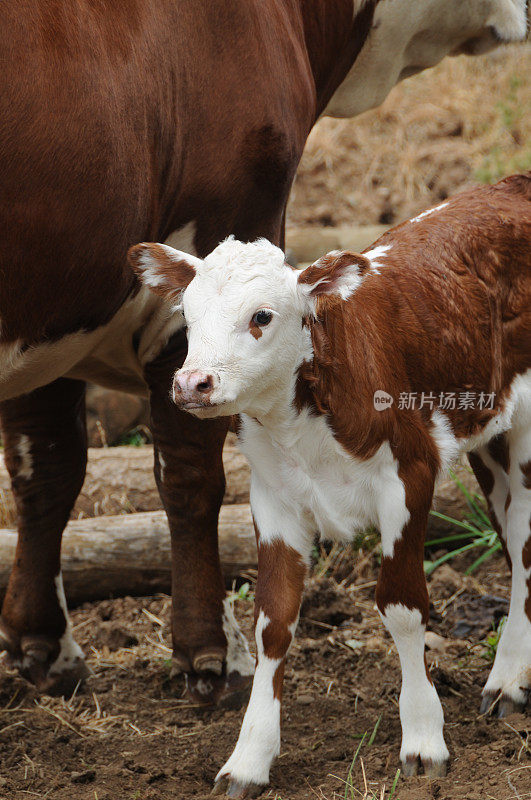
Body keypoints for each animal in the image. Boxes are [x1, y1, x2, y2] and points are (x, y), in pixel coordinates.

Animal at [0, 0, 528, 704]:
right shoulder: (217, 226)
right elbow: (190, 475)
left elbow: (45, 470)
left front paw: (45, 648)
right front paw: (211, 655)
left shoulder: (53, 308)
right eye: (199, 313)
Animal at [130, 173, 531, 792]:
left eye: (262, 316)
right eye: (188, 317)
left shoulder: (410, 476)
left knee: (525, 539)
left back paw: (509, 680)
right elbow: (273, 621)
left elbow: (401, 607)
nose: (193, 383)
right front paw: (249, 757)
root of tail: (511, 184)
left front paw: (423, 737)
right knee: (512, 537)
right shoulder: (273, 498)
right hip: (492, 433)